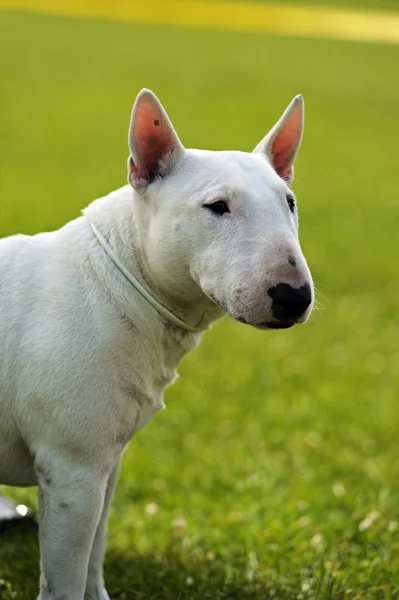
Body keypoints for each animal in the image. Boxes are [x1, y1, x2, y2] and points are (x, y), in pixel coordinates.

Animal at [0, 90, 312, 600]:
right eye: (217, 206)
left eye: (289, 202)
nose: (294, 297)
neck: (119, 283)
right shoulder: (71, 470)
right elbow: (66, 577)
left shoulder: (103, 467)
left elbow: (94, 554)